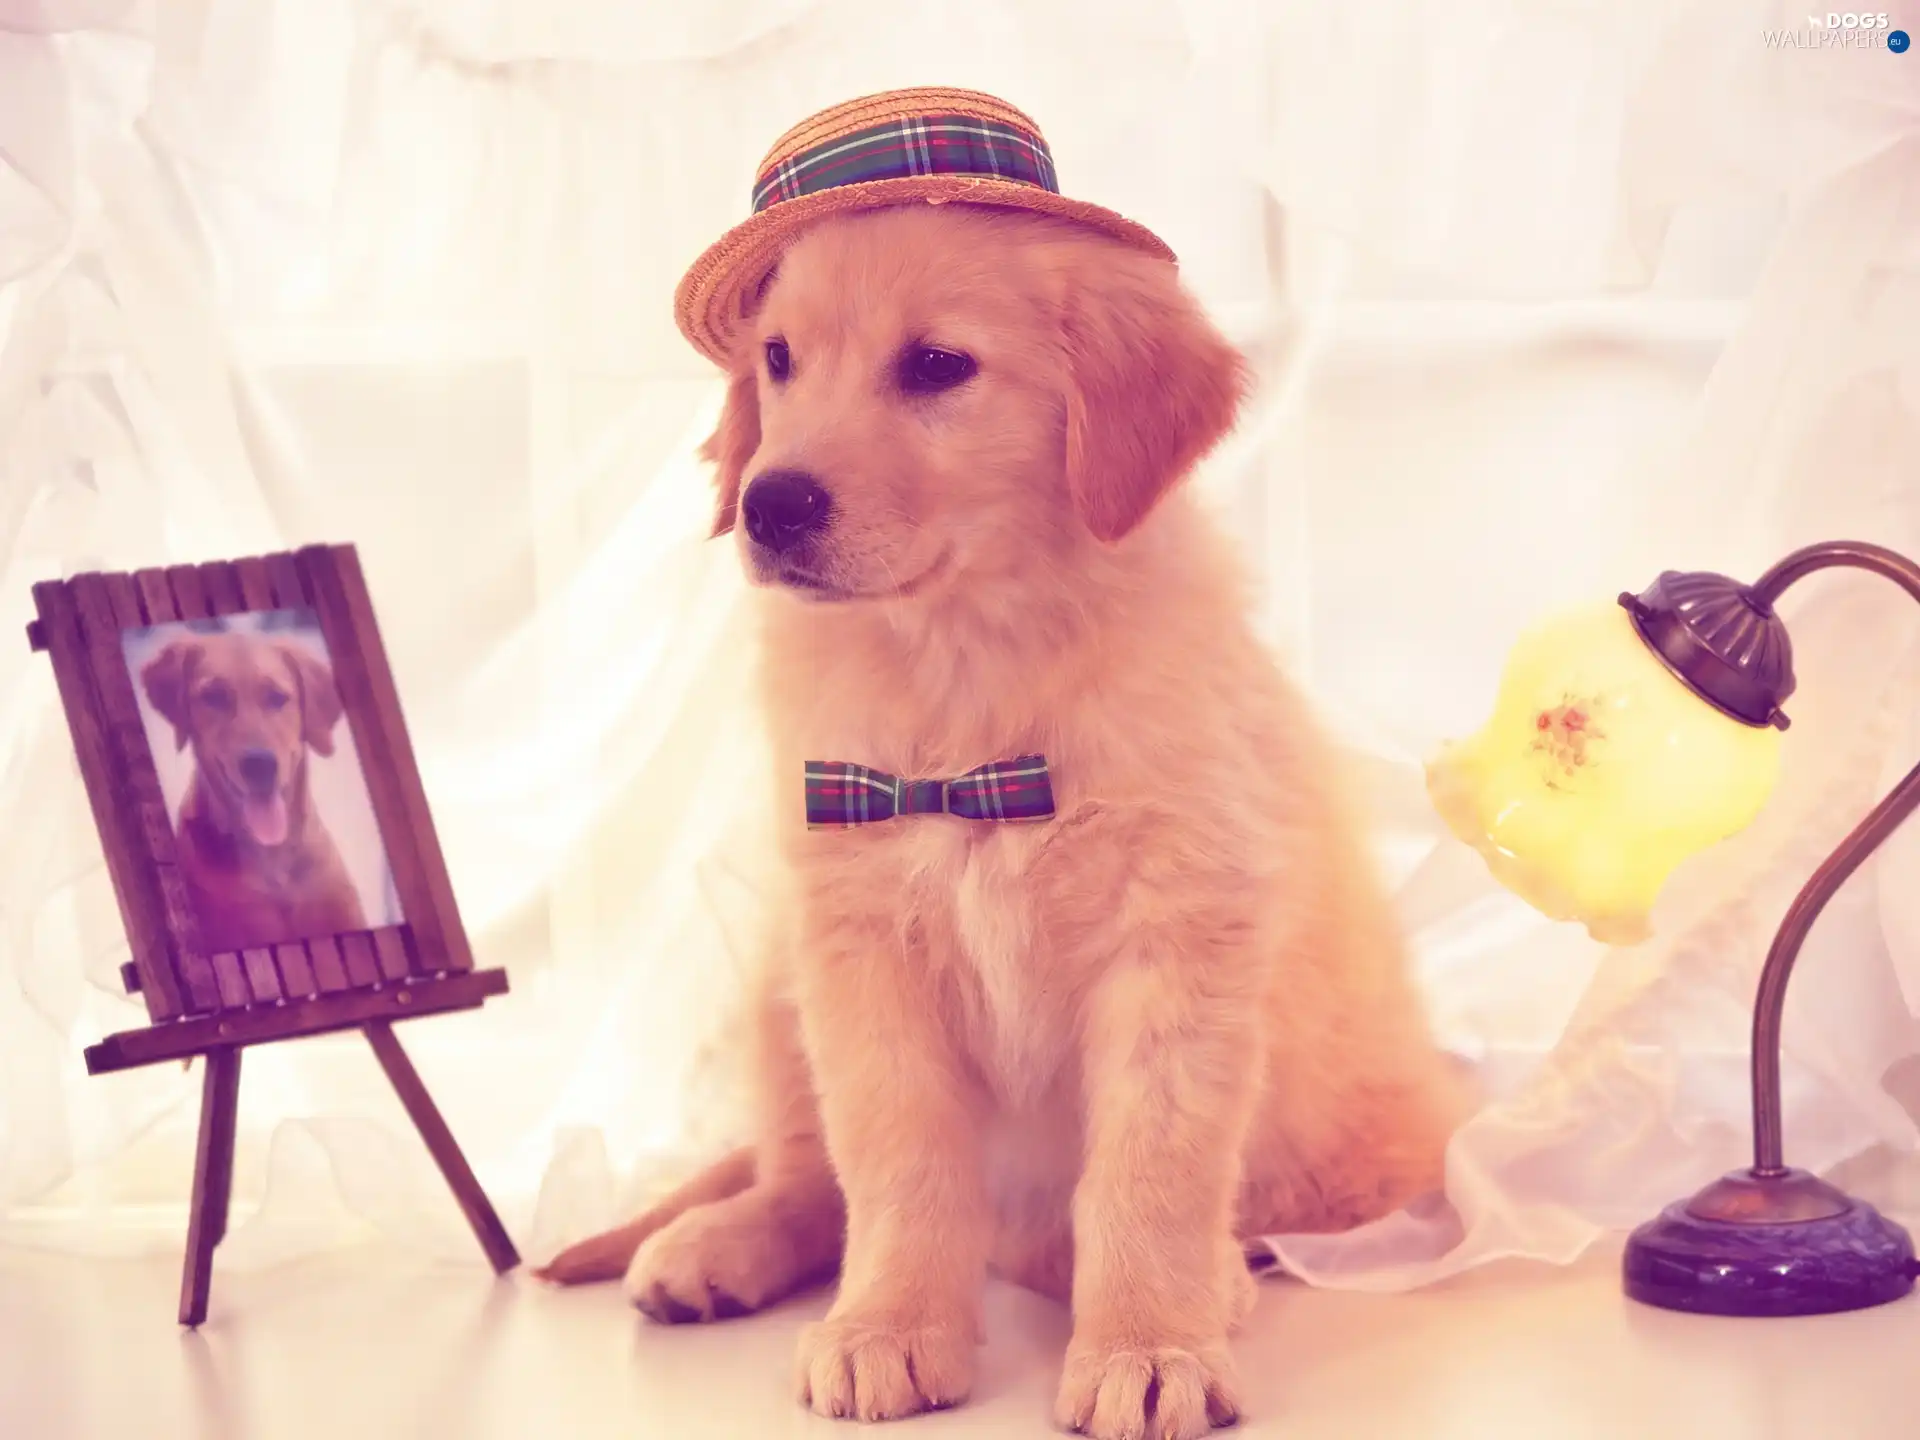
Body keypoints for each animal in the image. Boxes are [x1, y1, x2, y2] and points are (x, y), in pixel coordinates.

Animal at [533, 93, 1459, 1440]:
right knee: (803, 1175)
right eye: (779, 361)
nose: (770, 505)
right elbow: (894, 1166)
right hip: (777, 988)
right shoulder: (860, 947)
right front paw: (888, 1328)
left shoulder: (1179, 941)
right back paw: (722, 1245)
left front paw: (1148, 1345)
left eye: (936, 367)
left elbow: (1147, 1172)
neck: (964, 667)